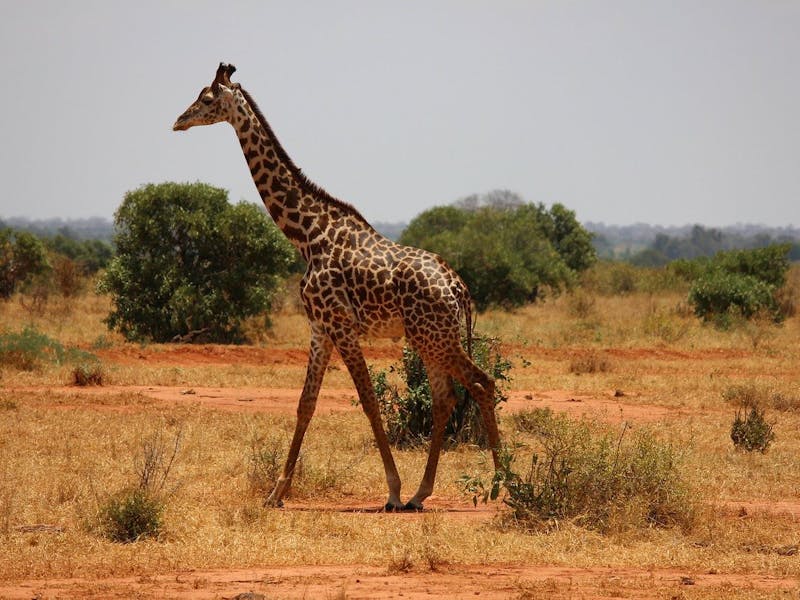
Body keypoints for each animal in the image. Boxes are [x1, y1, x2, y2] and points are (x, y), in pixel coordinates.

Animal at [173, 63, 500, 511]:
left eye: (206, 99)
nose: (178, 121)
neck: (306, 234)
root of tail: (459, 288)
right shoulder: (320, 329)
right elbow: (305, 404)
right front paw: (277, 492)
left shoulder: (341, 325)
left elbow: (369, 401)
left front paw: (392, 490)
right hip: (429, 337)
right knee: (445, 399)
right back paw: (422, 494)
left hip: (437, 338)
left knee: (483, 384)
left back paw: (502, 484)